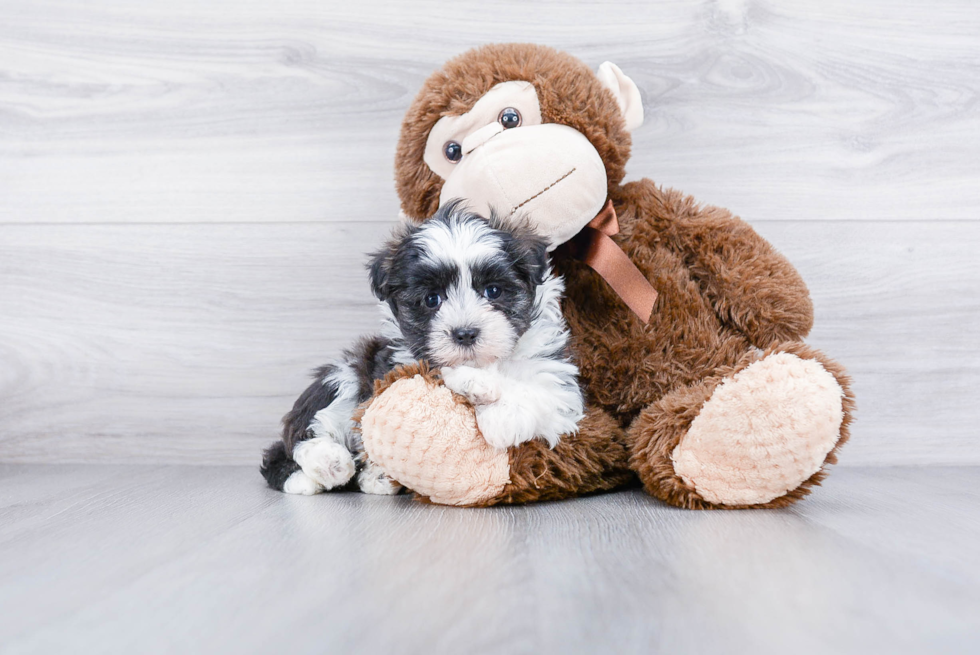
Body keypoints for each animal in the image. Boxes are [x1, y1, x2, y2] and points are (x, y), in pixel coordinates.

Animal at [258, 202, 580, 494]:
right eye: (431, 299)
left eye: (494, 291)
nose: (465, 334)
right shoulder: (393, 368)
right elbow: (435, 374)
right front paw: (475, 383)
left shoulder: (559, 383)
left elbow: (540, 394)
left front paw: (501, 418)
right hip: (345, 373)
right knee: (299, 434)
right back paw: (326, 464)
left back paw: (373, 478)